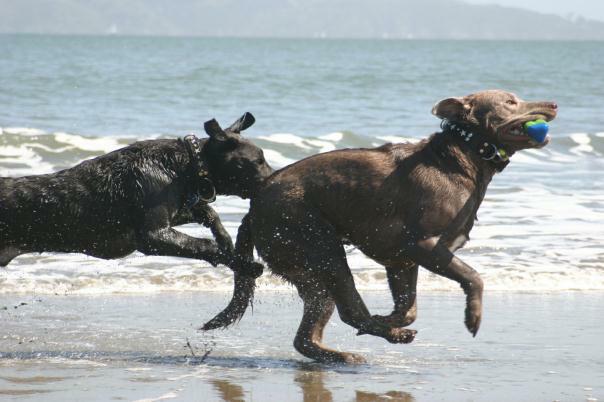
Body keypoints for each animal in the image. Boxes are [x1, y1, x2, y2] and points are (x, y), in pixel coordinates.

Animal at [0, 111, 272, 272]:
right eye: (258, 161)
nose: (274, 180)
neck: (186, 166)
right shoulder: (153, 235)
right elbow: (206, 245)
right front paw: (242, 263)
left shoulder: (175, 211)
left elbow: (208, 213)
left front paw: (224, 237)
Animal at [205, 90, 560, 364]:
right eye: (511, 102)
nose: (554, 104)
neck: (464, 156)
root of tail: (253, 209)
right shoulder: (423, 245)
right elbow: (473, 277)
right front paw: (472, 317)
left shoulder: (403, 261)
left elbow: (409, 307)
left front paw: (390, 318)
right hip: (319, 246)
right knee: (350, 311)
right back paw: (387, 335)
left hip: (311, 273)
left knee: (309, 335)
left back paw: (349, 351)